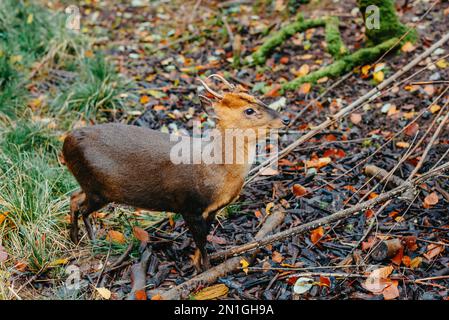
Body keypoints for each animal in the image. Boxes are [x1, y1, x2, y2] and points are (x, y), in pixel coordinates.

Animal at [63, 75, 288, 270]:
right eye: (249, 110)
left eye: (257, 98)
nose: (284, 119)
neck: (216, 169)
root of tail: (66, 141)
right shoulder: (189, 205)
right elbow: (200, 240)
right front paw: (204, 269)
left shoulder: (211, 210)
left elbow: (203, 237)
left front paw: (197, 264)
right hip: (99, 189)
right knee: (82, 207)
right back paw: (89, 239)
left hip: (90, 186)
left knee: (74, 198)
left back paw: (78, 239)